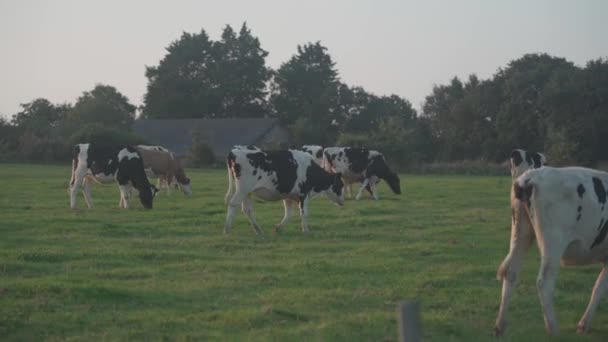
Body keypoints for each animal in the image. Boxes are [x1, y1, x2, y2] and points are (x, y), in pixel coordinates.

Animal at [496, 167, 608, 336]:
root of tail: (530, 177)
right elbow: (600, 287)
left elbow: (598, 287)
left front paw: (583, 325)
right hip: (553, 244)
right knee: (544, 282)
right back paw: (553, 329)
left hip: (520, 232)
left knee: (511, 273)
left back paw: (500, 326)